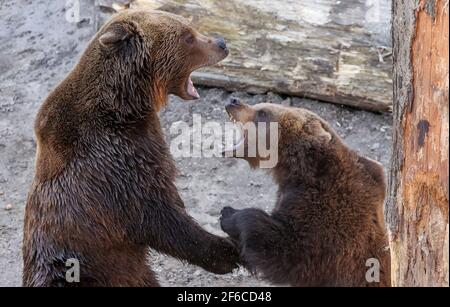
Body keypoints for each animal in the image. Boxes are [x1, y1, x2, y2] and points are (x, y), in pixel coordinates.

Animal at [22, 10, 239, 288]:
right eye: (188, 37)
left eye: (190, 26)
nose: (222, 43)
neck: (125, 108)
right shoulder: (115, 169)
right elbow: (160, 217)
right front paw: (227, 251)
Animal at [221, 100, 390, 288]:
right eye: (259, 106)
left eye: (262, 112)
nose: (234, 101)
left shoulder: (322, 209)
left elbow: (287, 252)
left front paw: (228, 214)